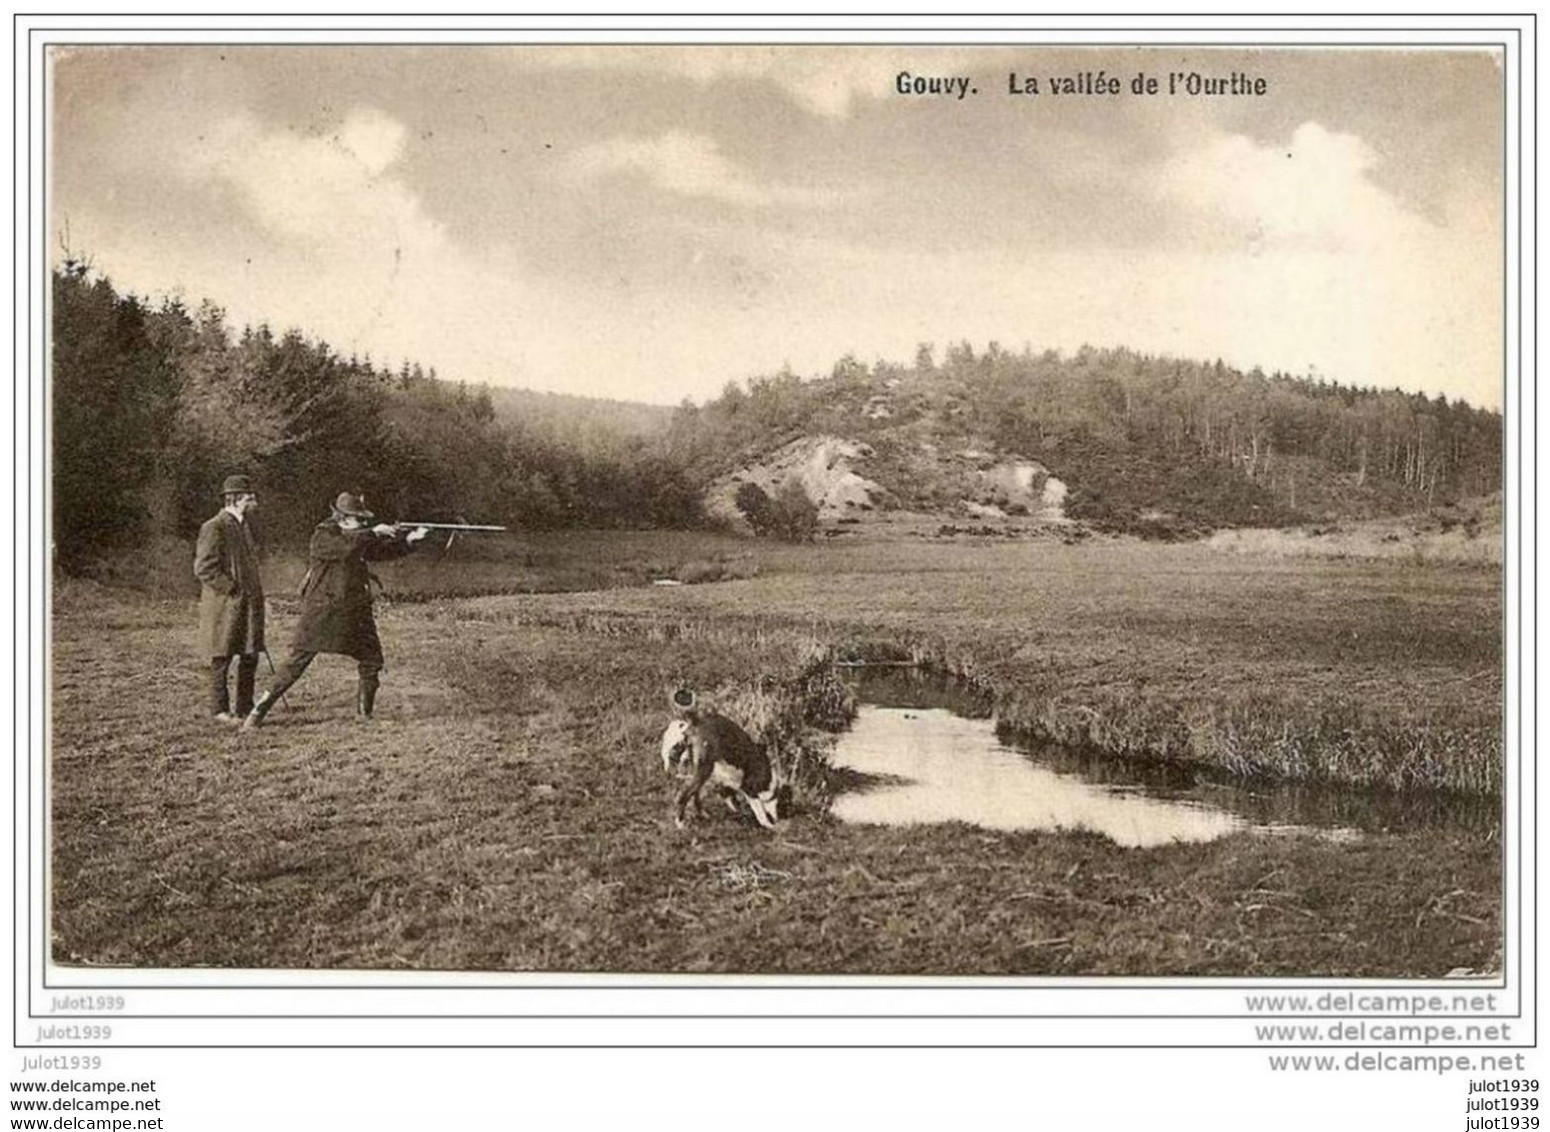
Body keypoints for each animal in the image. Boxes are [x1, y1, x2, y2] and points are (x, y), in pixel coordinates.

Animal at [660, 682, 787, 824]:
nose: (777, 819)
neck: (769, 780)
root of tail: (696, 720)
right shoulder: (749, 789)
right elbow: (760, 813)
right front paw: (768, 825)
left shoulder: (729, 784)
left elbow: (731, 799)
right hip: (704, 769)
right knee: (686, 794)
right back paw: (680, 822)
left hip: (697, 769)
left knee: (694, 794)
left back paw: (703, 814)